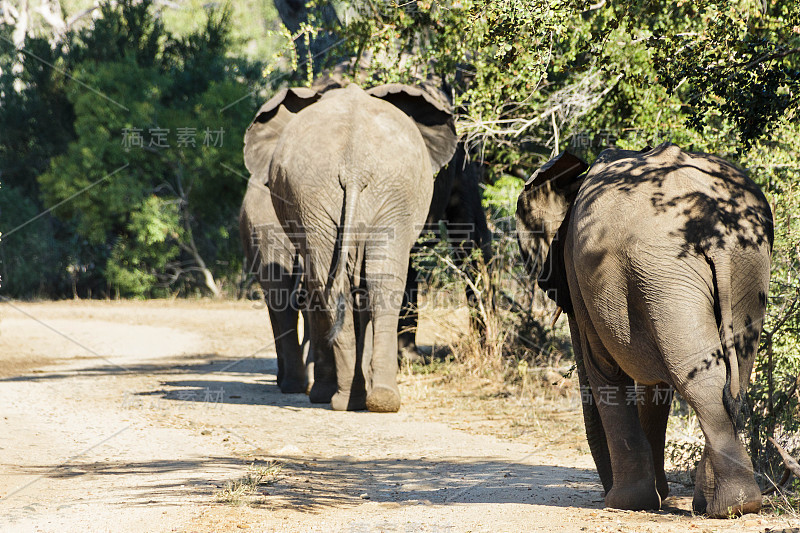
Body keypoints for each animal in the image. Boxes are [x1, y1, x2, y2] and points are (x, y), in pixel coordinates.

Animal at [516, 142, 772, 516]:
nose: (604, 490)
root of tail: (716, 224)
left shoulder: (580, 276)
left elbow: (604, 369)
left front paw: (627, 503)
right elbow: (656, 384)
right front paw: (654, 497)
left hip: (668, 267)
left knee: (699, 378)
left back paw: (729, 506)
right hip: (740, 265)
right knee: (733, 369)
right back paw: (725, 505)